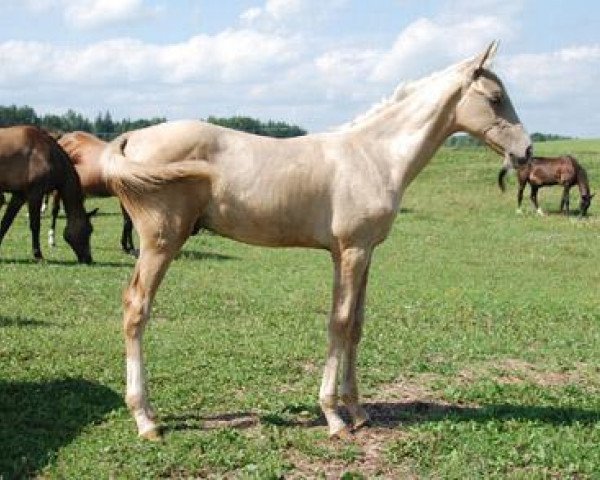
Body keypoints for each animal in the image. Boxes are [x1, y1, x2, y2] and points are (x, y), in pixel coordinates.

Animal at [0, 124, 94, 262]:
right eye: (88, 230)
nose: (88, 258)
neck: (47, 154)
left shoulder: (19, 196)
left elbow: (6, 222)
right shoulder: (35, 194)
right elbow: (35, 225)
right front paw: (38, 254)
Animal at [101, 43, 532, 440]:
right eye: (495, 98)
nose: (526, 151)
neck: (374, 156)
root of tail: (132, 138)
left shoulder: (364, 253)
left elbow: (356, 324)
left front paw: (358, 410)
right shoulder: (351, 251)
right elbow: (338, 323)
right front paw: (334, 416)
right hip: (160, 243)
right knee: (136, 309)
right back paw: (145, 420)